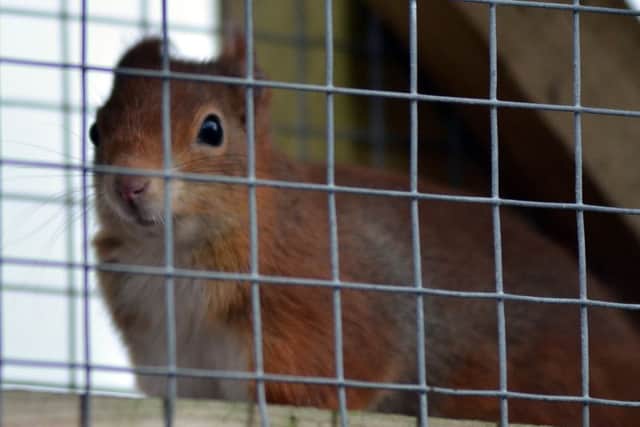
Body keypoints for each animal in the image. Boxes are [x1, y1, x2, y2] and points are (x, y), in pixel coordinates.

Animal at [90, 35, 640, 426]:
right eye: (96, 130)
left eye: (211, 130)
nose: (129, 185)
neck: (173, 254)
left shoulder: (326, 317)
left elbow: (330, 385)